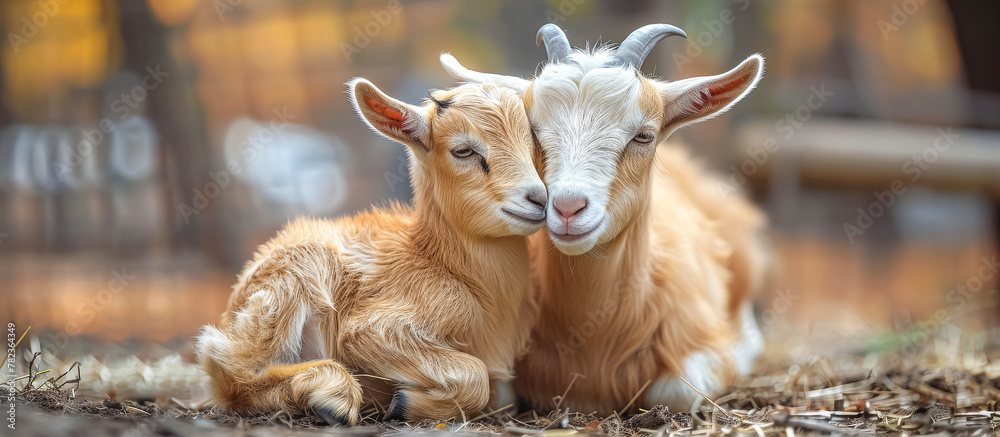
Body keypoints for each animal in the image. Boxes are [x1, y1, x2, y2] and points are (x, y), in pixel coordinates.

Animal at [194, 79, 547, 424]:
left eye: (533, 141)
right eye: (463, 150)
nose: (539, 199)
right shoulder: (373, 330)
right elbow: (475, 375)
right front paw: (402, 404)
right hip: (293, 280)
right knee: (230, 372)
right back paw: (332, 396)